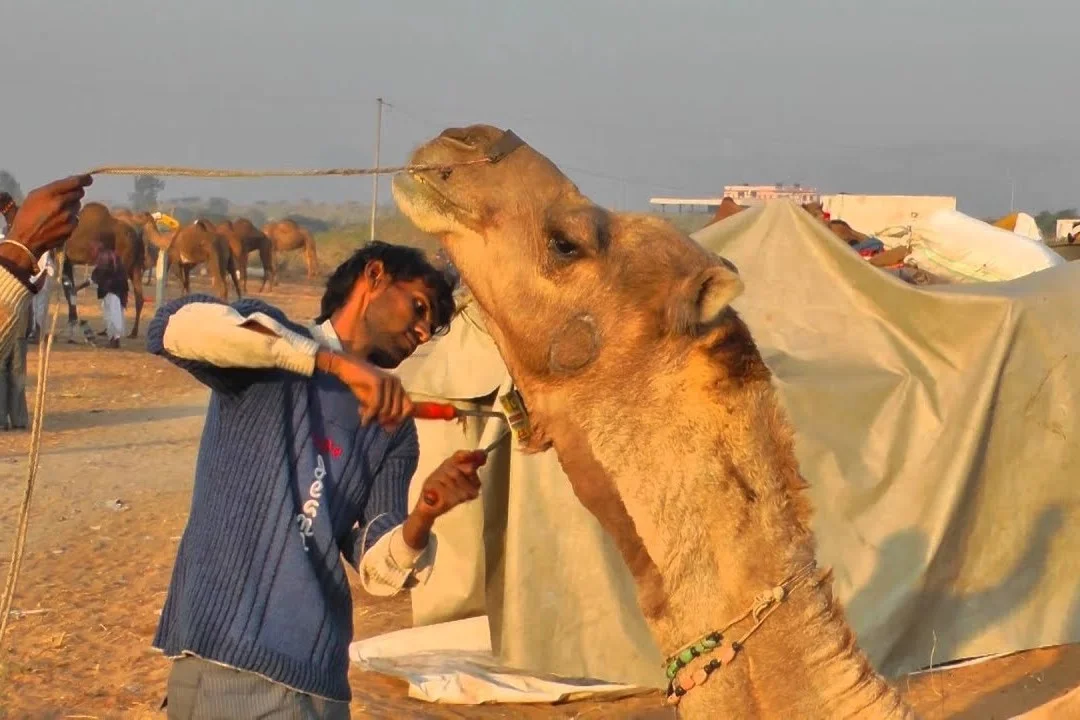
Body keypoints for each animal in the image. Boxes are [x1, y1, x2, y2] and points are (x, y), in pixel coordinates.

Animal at [62, 201, 146, 338]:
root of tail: (137, 237)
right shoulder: (68, 261)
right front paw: (72, 320)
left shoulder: (65, 258)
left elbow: (67, 290)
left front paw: (72, 322)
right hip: (135, 266)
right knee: (138, 296)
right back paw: (132, 332)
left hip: (123, 262)